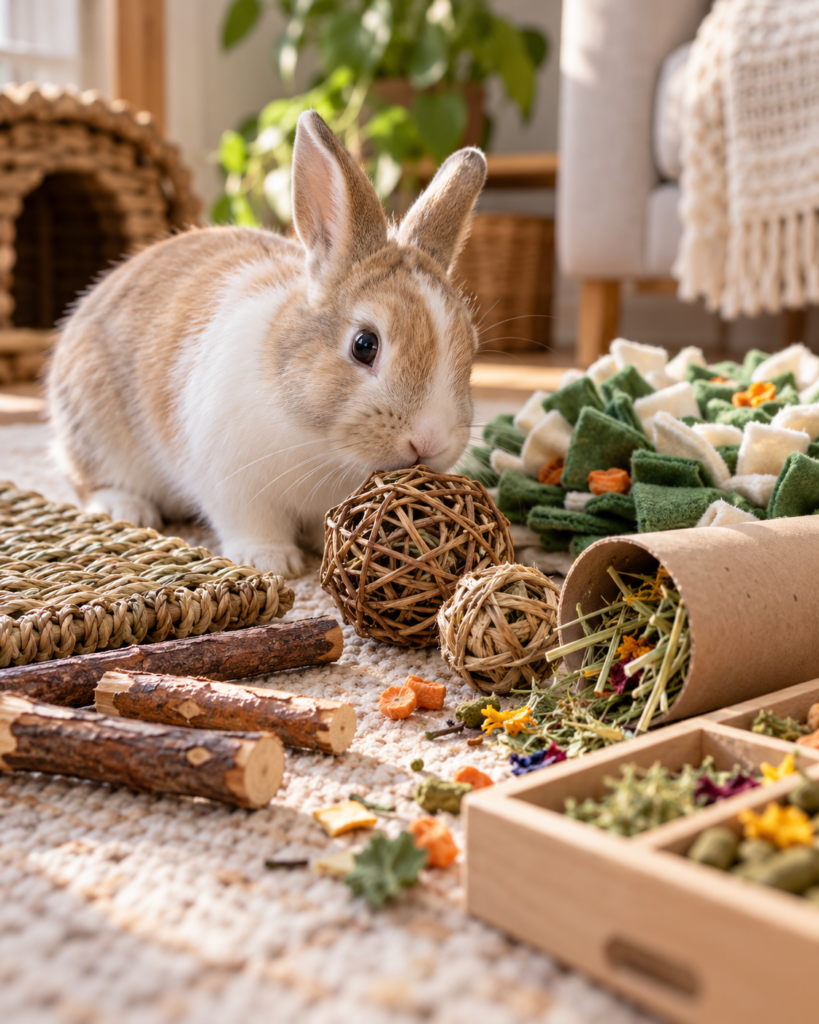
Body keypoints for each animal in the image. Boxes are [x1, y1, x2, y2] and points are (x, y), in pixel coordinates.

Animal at [47, 110, 487, 577]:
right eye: (365, 345)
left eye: (471, 350)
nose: (429, 441)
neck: (321, 445)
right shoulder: (232, 482)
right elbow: (251, 522)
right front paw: (274, 563)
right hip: (94, 429)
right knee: (85, 480)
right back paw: (127, 509)